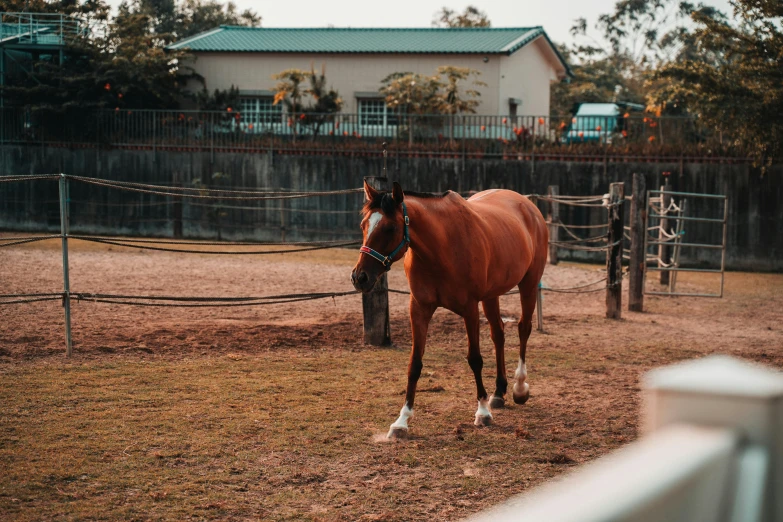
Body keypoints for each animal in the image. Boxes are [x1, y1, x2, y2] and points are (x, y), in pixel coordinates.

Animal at [352, 181, 548, 436]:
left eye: (390, 228)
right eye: (363, 225)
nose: (360, 277)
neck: (441, 247)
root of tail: (528, 206)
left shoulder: (469, 309)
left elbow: (475, 359)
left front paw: (482, 412)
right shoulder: (419, 309)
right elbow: (414, 364)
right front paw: (401, 421)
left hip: (529, 283)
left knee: (524, 328)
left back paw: (519, 389)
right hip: (491, 295)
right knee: (498, 333)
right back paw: (498, 393)